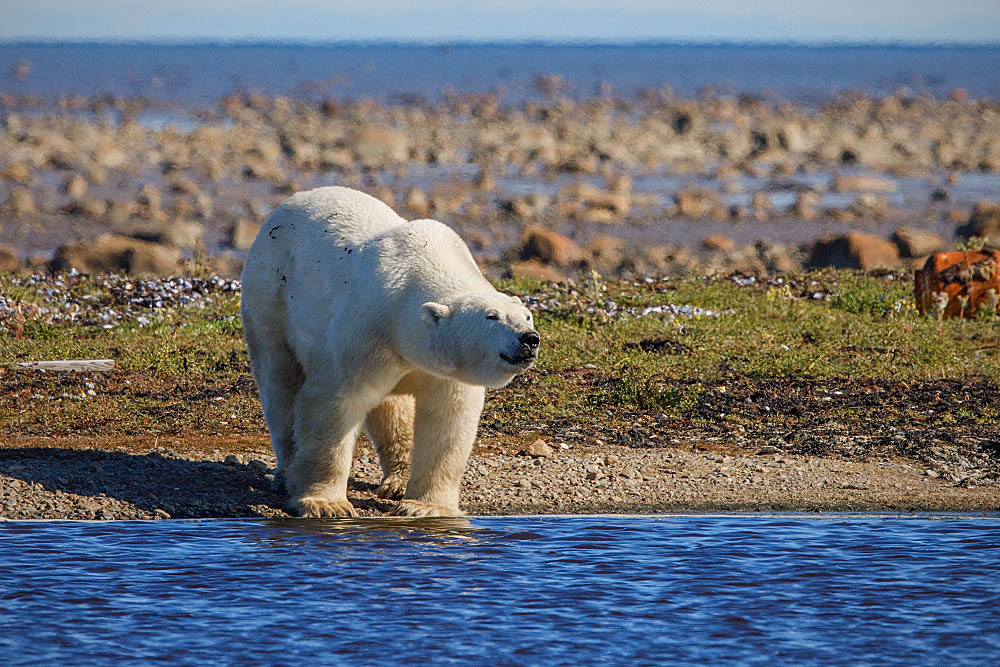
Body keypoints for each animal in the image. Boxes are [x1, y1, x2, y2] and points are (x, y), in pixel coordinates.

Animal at [240, 185, 540, 520]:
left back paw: (397, 481)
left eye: (527, 316)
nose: (529, 339)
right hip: (270, 297)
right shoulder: (366, 331)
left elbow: (447, 421)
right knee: (280, 383)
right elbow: (334, 406)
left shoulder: (439, 366)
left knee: (393, 411)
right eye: (491, 317)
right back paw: (286, 472)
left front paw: (426, 506)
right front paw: (325, 504)